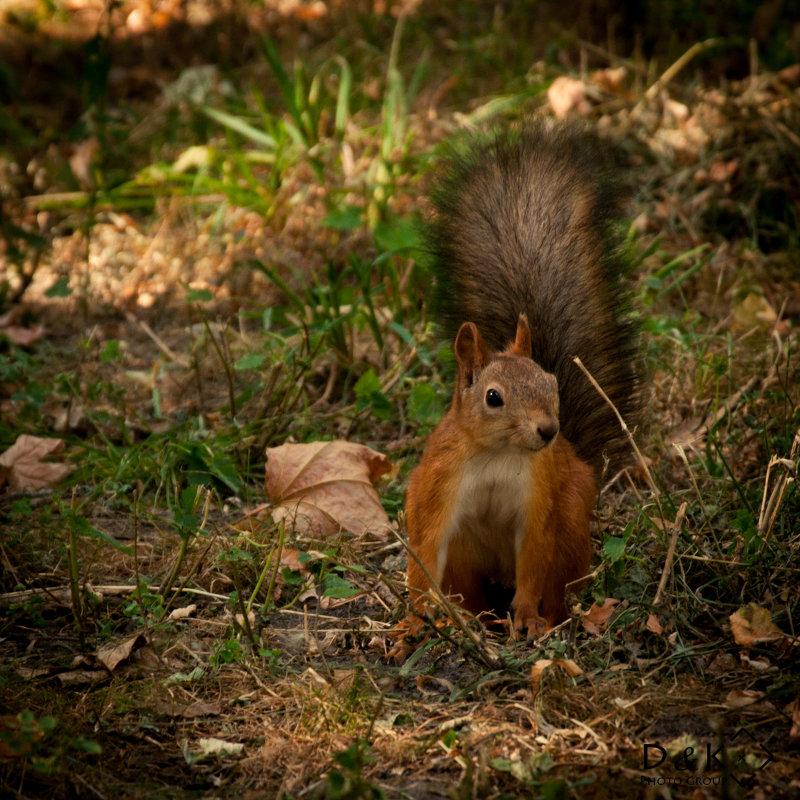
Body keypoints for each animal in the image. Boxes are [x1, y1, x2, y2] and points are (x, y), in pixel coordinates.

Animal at [404, 123, 640, 636]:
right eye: (493, 397)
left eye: (552, 385)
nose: (548, 431)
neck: (497, 455)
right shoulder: (436, 486)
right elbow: (424, 549)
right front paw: (412, 621)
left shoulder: (539, 503)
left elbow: (533, 560)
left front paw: (528, 617)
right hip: (466, 559)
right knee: (471, 590)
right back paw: (469, 617)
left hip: (571, 519)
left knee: (556, 584)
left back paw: (546, 618)